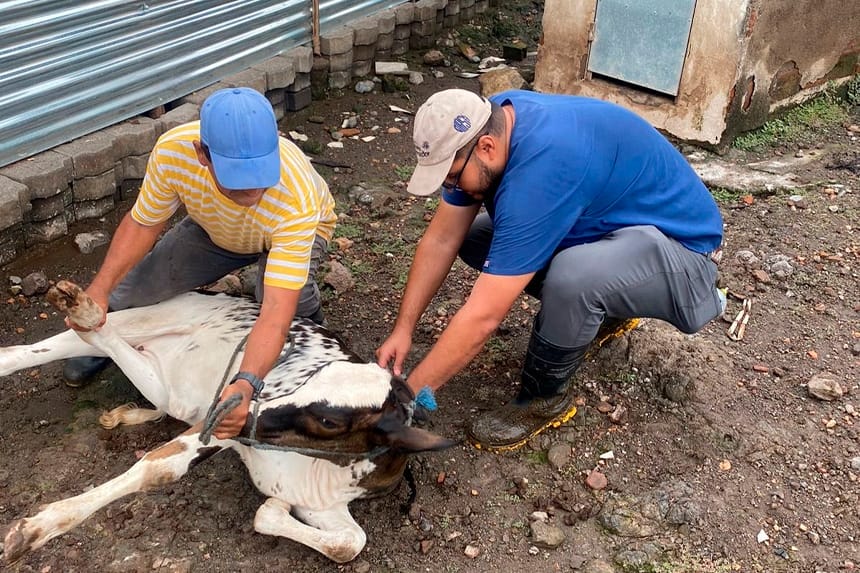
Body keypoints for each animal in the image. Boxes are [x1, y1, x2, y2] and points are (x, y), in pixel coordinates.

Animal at [0, 281, 455, 564]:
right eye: (312, 376)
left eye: (328, 420)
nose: (258, 410)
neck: (318, 468)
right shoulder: (224, 423)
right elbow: (159, 469)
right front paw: (33, 530)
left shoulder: (320, 503)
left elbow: (350, 542)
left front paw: (273, 509)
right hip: (155, 320)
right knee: (51, 344)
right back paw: (81, 308)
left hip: (168, 384)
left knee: (112, 355)